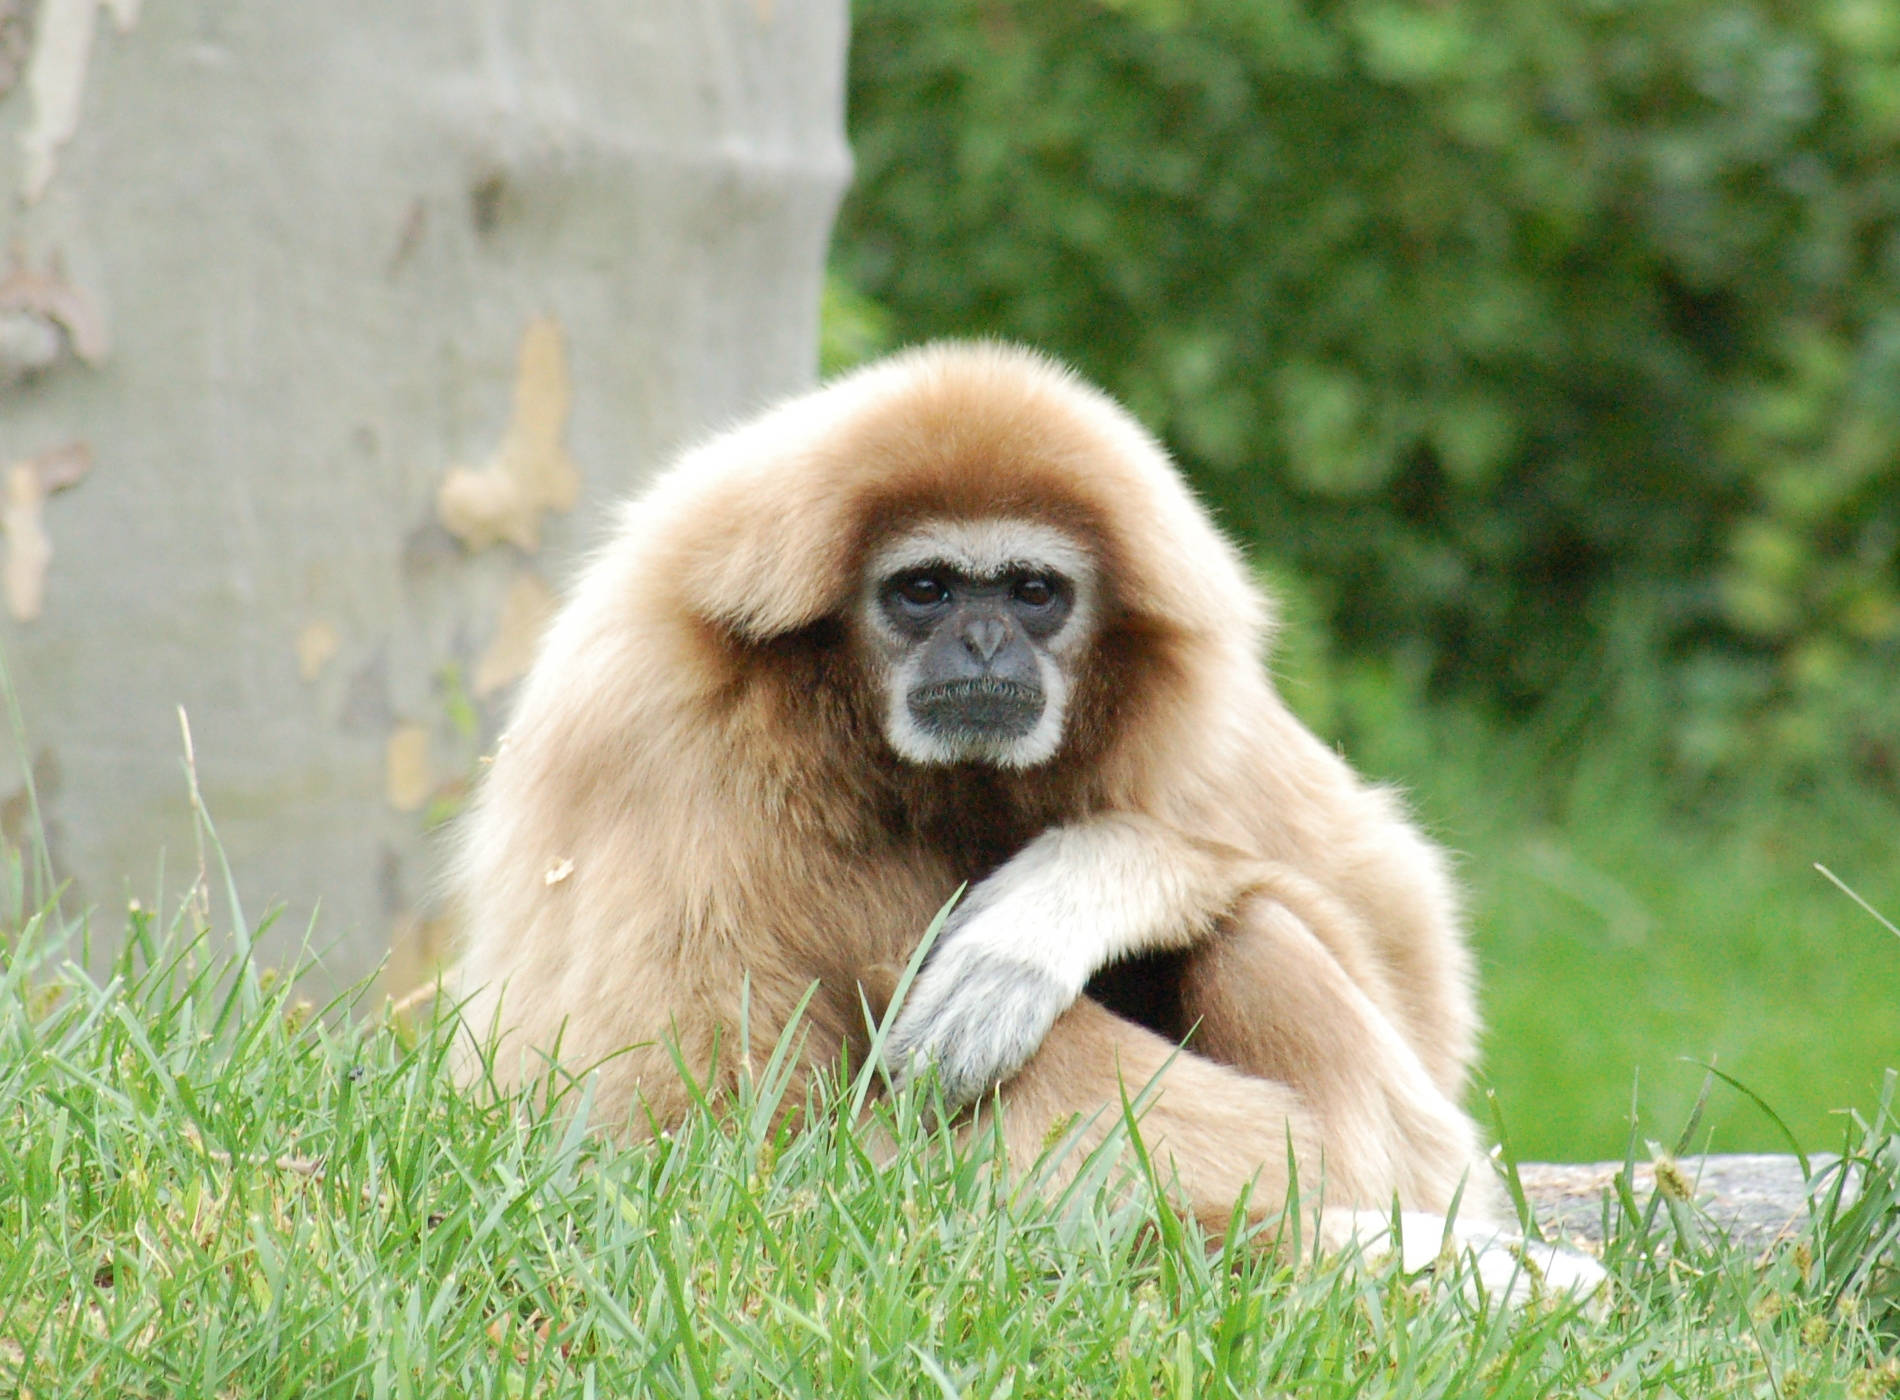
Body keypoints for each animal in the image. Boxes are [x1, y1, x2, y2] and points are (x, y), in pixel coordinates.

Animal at [449, 342, 1604, 1294]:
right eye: (923, 589)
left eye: (1033, 591)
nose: (983, 641)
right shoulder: (660, 741)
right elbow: (697, 1151)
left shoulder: (1195, 715)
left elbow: (1417, 979)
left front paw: (1051, 909)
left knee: (1256, 930)